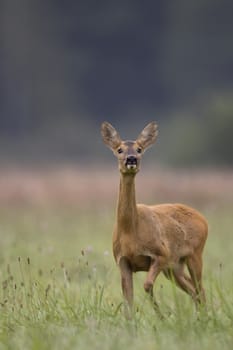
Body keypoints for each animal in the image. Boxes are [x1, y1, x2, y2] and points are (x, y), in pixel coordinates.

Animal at [101, 121, 208, 314]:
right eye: (119, 149)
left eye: (139, 149)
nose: (131, 159)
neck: (130, 232)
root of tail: (203, 218)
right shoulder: (122, 261)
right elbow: (128, 299)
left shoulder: (161, 254)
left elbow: (147, 284)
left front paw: (161, 315)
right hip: (175, 267)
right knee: (194, 290)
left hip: (195, 254)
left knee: (200, 289)